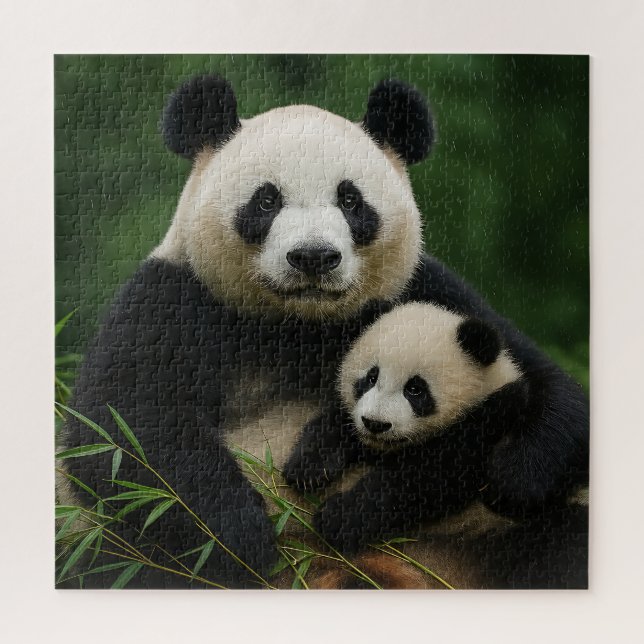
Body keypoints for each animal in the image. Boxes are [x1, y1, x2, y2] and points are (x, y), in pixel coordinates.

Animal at [59, 73, 589, 589]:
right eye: (267, 200)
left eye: (350, 200)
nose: (313, 256)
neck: (299, 322)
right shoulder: (175, 299)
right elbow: (126, 431)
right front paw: (242, 537)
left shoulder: (430, 292)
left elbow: (548, 390)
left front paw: (516, 476)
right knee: (109, 560)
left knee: (562, 542)